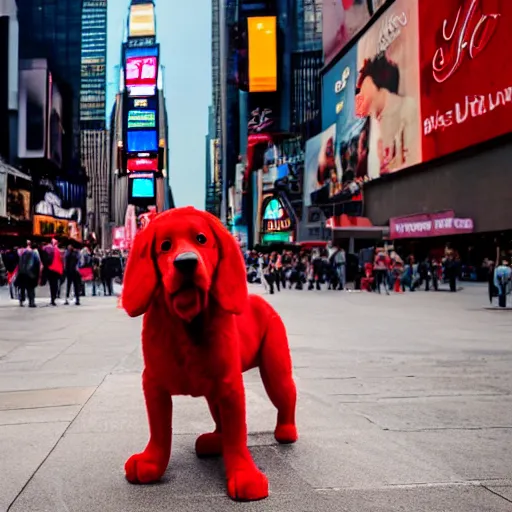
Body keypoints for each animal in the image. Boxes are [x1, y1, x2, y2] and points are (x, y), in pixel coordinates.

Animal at [122, 207, 298, 500]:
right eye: (165, 246)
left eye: (201, 239)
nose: (186, 262)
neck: (188, 323)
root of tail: (261, 300)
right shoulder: (153, 385)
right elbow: (159, 431)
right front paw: (151, 462)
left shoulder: (231, 387)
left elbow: (237, 435)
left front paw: (244, 474)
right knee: (220, 423)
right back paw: (214, 441)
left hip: (276, 371)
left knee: (286, 398)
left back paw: (286, 430)